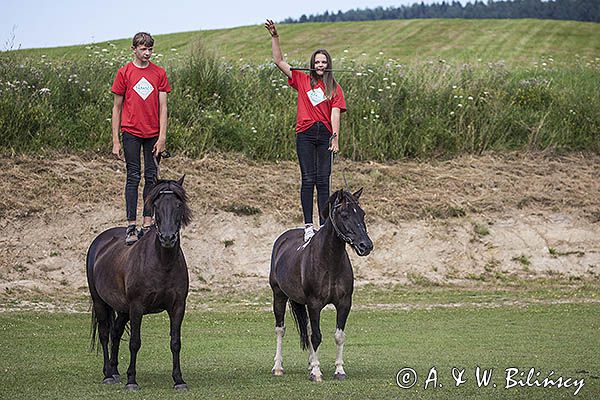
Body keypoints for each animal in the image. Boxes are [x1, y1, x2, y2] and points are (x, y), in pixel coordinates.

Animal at [86, 177, 192, 390]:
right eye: (156, 206)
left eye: (178, 205)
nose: (167, 238)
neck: (162, 262)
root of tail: (100, 242)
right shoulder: (136, 307)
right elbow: (135, 342)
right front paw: (131, 380)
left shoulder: (178, 307)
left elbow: (175, 342)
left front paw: (178, 380)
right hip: (100, 302)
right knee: (104, 333)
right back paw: (108, 374)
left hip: (122, 309)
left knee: (115, 332)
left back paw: (115, 371)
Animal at [270, 188, 372, 382]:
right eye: (344, 214)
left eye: (362, 213)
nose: (366, 245)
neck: (329, 261)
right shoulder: (314, 304)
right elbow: (316, 336)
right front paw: (316, 373)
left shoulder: (344, 303)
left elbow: (338, 336)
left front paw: (339, 370)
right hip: (279, 296)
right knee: (280, 330)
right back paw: (278, 367)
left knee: (308, 329)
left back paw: (310, 362)